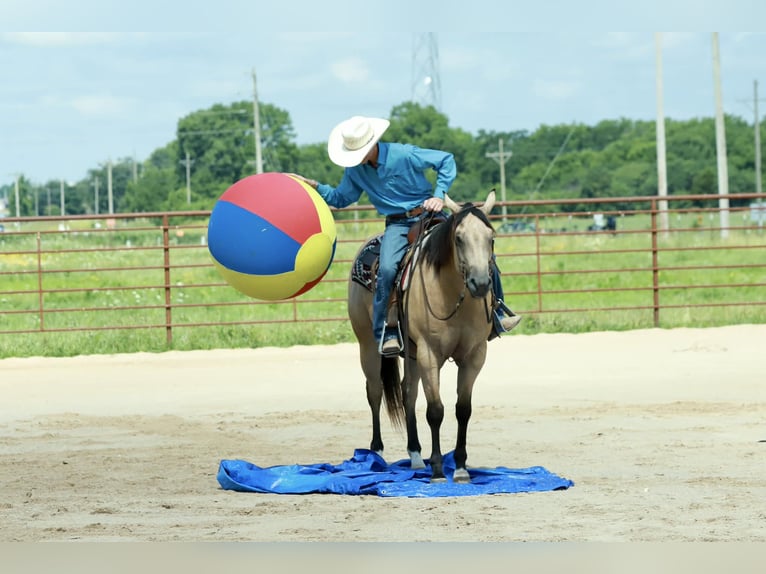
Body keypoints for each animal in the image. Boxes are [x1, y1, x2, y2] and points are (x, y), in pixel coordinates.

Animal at [347, 190, 497, 482]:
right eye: (458, 238)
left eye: (491, 238)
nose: (480, 283)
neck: (451, 295)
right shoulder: (430, 353)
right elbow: (435, 410)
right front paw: (438, 470)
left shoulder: (474, 356)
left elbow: (463, 409)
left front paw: (460, 467)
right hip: (368, 345)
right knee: (375, 391)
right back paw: (376, 453)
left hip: (412, 353)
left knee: (408, 392)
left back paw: (416, 455)